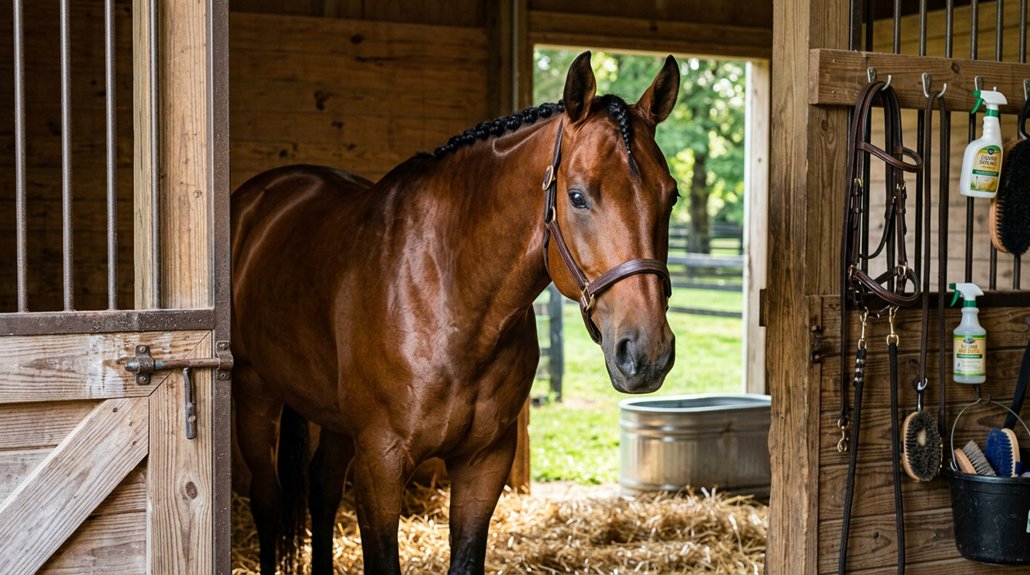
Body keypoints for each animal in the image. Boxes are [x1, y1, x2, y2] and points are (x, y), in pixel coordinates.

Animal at [231, 50, 680, 575]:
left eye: (670, 195)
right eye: (577, 196)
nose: (646, 353)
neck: (450, 294)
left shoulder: (483, 462)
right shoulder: (381, 462)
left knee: (321, 489)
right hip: (255, 395)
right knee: (268, 500)